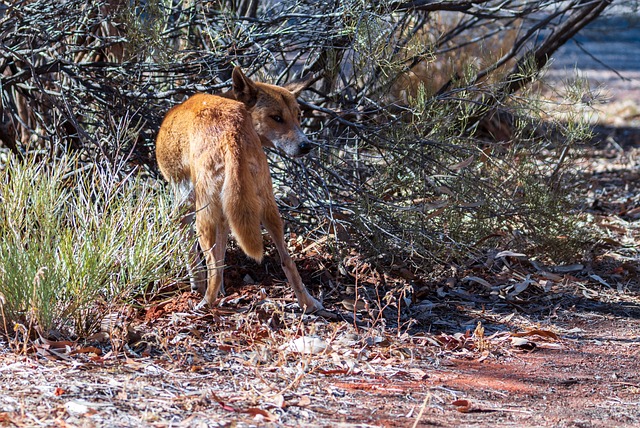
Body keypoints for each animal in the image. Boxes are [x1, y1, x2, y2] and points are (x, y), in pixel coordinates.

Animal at [156, 67, 324, 314]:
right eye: (277, 117)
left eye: (298, 117)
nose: (306, 146)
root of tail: (230, 131)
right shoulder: (226, 215)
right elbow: (221, 257)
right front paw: (222, 290)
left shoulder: (183, 207)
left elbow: (194, 256)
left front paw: (198, 284)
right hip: (267, 205)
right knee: (287, 260)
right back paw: (308, 304)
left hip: (204, 214)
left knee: (211, 265)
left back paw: (205, 304)